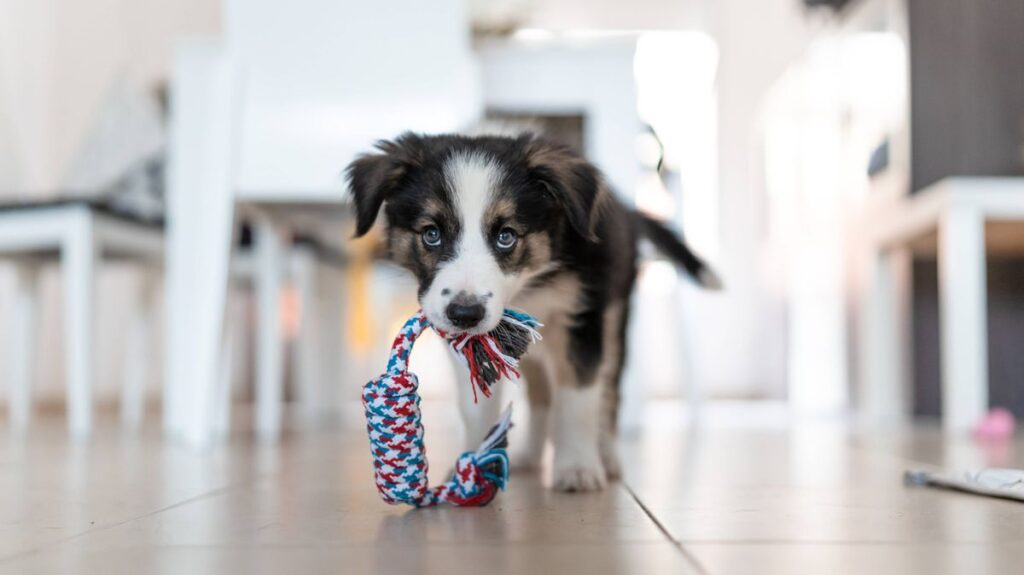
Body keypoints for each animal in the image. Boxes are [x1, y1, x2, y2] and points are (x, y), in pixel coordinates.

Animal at [347, 132, 719, 492]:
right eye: (431, 234)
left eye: (506, 236)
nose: (465, 313)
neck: (528, 287)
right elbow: (476, 405)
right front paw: (472, 462)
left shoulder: (582, 319)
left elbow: (579, 397)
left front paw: (578, 467)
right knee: (541, 394)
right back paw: (530, 454)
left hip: (615, 319)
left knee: (609, 390)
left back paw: (607, 457)